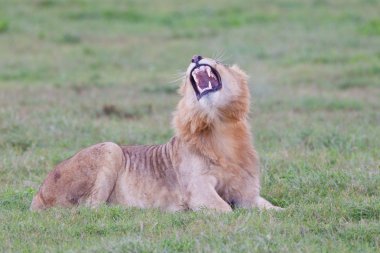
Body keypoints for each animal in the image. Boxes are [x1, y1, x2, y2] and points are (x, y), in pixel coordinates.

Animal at [30, 54, 282, 211]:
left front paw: (282, 211)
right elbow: (225, 209)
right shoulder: (198, 189)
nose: (196, 57)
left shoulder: (246, 192)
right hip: (111, 148)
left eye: (220, 62)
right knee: (91, 208)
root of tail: (37, 195)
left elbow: (271, 207)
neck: (219, 126)